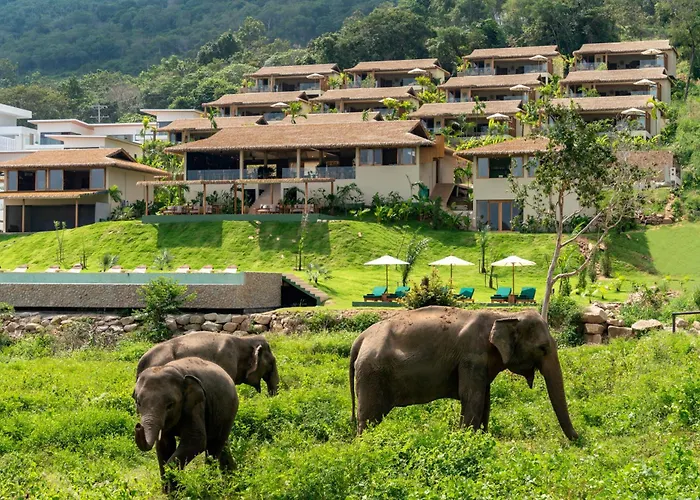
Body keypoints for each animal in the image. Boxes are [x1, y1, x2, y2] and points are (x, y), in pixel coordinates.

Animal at [133, 356, 239, 492]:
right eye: (138, 402)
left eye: (170, 405)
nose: (138, 426)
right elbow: (164, 445)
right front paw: (168, 491)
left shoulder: (196, 405)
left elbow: (196, 441)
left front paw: (176, 488)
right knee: (222, 444)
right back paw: (232, 481)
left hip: (228, 409)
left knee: (213, 448)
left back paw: (211, 486)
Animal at [349, 306, 578, 440]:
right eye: (542, 348)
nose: (578, 439)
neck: (503, 317)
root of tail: (361, 337)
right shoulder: (472, 357)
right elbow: (472, 398)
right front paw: (469, 440)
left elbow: (485, 400)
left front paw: (484, 438)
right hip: (372, 374)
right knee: (368, 419)